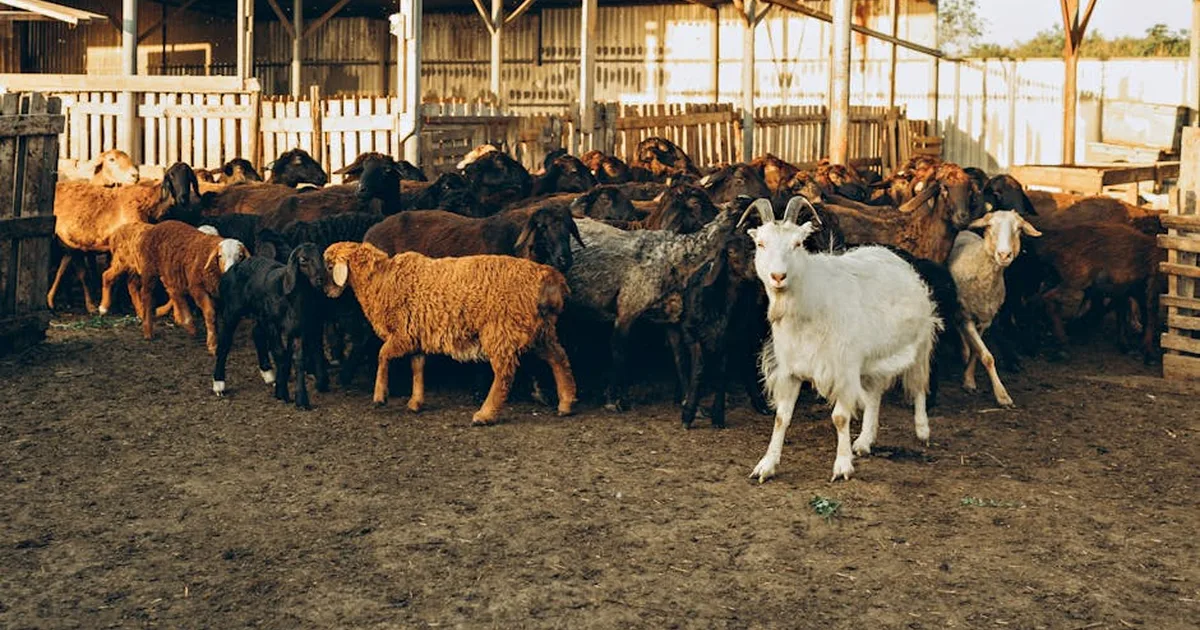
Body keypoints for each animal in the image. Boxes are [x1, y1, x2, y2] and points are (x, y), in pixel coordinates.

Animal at [323, 242, 577, 424]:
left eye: (329, 265)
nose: (326, 292)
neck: (380, 281)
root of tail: (547, 277)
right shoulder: (415, 335)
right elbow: (417, 366)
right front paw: (416, 402)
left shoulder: (402, 334)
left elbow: (382, 355)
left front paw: (380, 396)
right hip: (540, 330)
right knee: (560, 359)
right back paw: (566, 403)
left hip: (501, 330)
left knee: (504, 374)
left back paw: (485, 415)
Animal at [744, 198, 941, 482]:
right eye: (761, 243)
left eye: (798, 243)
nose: (778, 276)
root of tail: (892, 256)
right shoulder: (791, 370)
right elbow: (782, 417)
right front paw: (766, 466)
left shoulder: (843, 368)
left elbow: (839, 417)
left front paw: (842, 466)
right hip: (873, 358)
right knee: (874, 394)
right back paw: (864, 441)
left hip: (920, 341)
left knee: (918, 384)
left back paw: (922, 430)